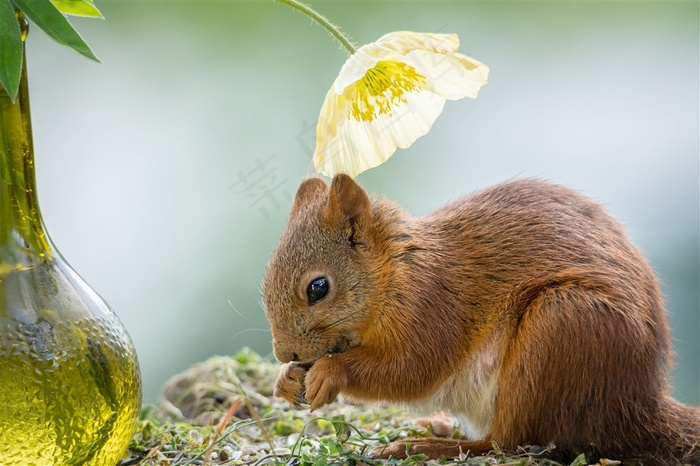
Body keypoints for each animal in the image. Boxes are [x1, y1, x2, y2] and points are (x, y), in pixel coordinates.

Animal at [264, 174, 700, 462]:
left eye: (318, 288)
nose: (285, 354)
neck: (397, 273)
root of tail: (638, 405)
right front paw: (286, 381)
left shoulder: (434, 307)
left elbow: (412, 369)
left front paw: (330, 372)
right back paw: (433, 427)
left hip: (560, 327)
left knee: (505, 442)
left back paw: (423, 446)